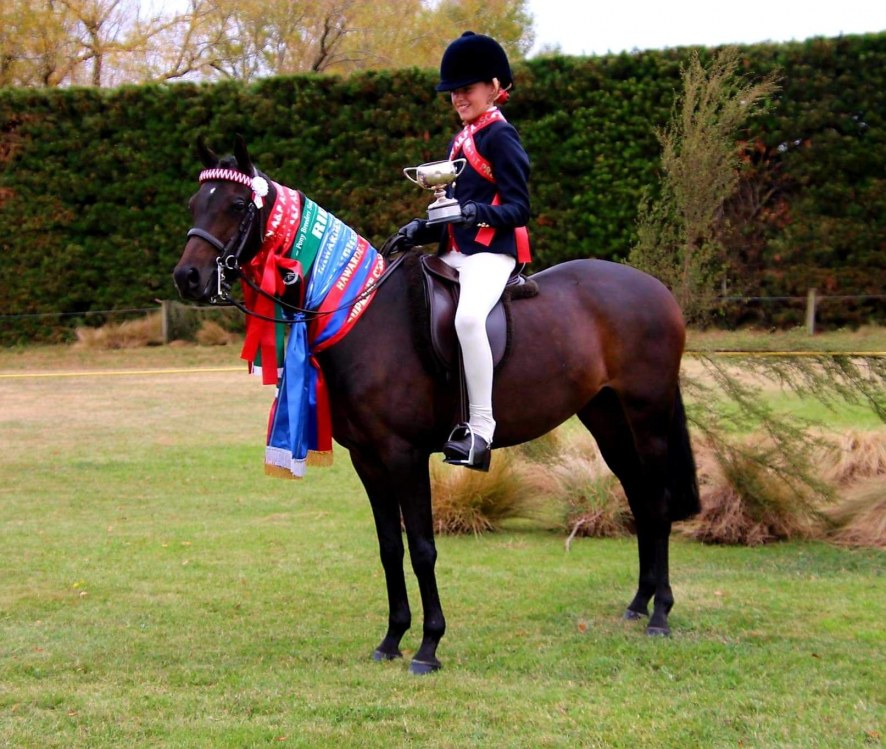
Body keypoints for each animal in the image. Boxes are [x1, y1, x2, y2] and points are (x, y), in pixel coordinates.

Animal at [173, 137, 700, 676]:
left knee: (657, 499)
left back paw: (661, 614)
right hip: (606, 416)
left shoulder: (403, 456)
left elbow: (423, 548)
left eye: (238, 205)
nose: (188, 277)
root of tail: (654, 288)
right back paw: (639, 603)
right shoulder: (368, 459)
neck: (361, 315)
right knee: (639, 495)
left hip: (647, 414)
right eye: (195, 204)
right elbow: (389, 547)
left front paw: (428, 645)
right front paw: (391, 639)